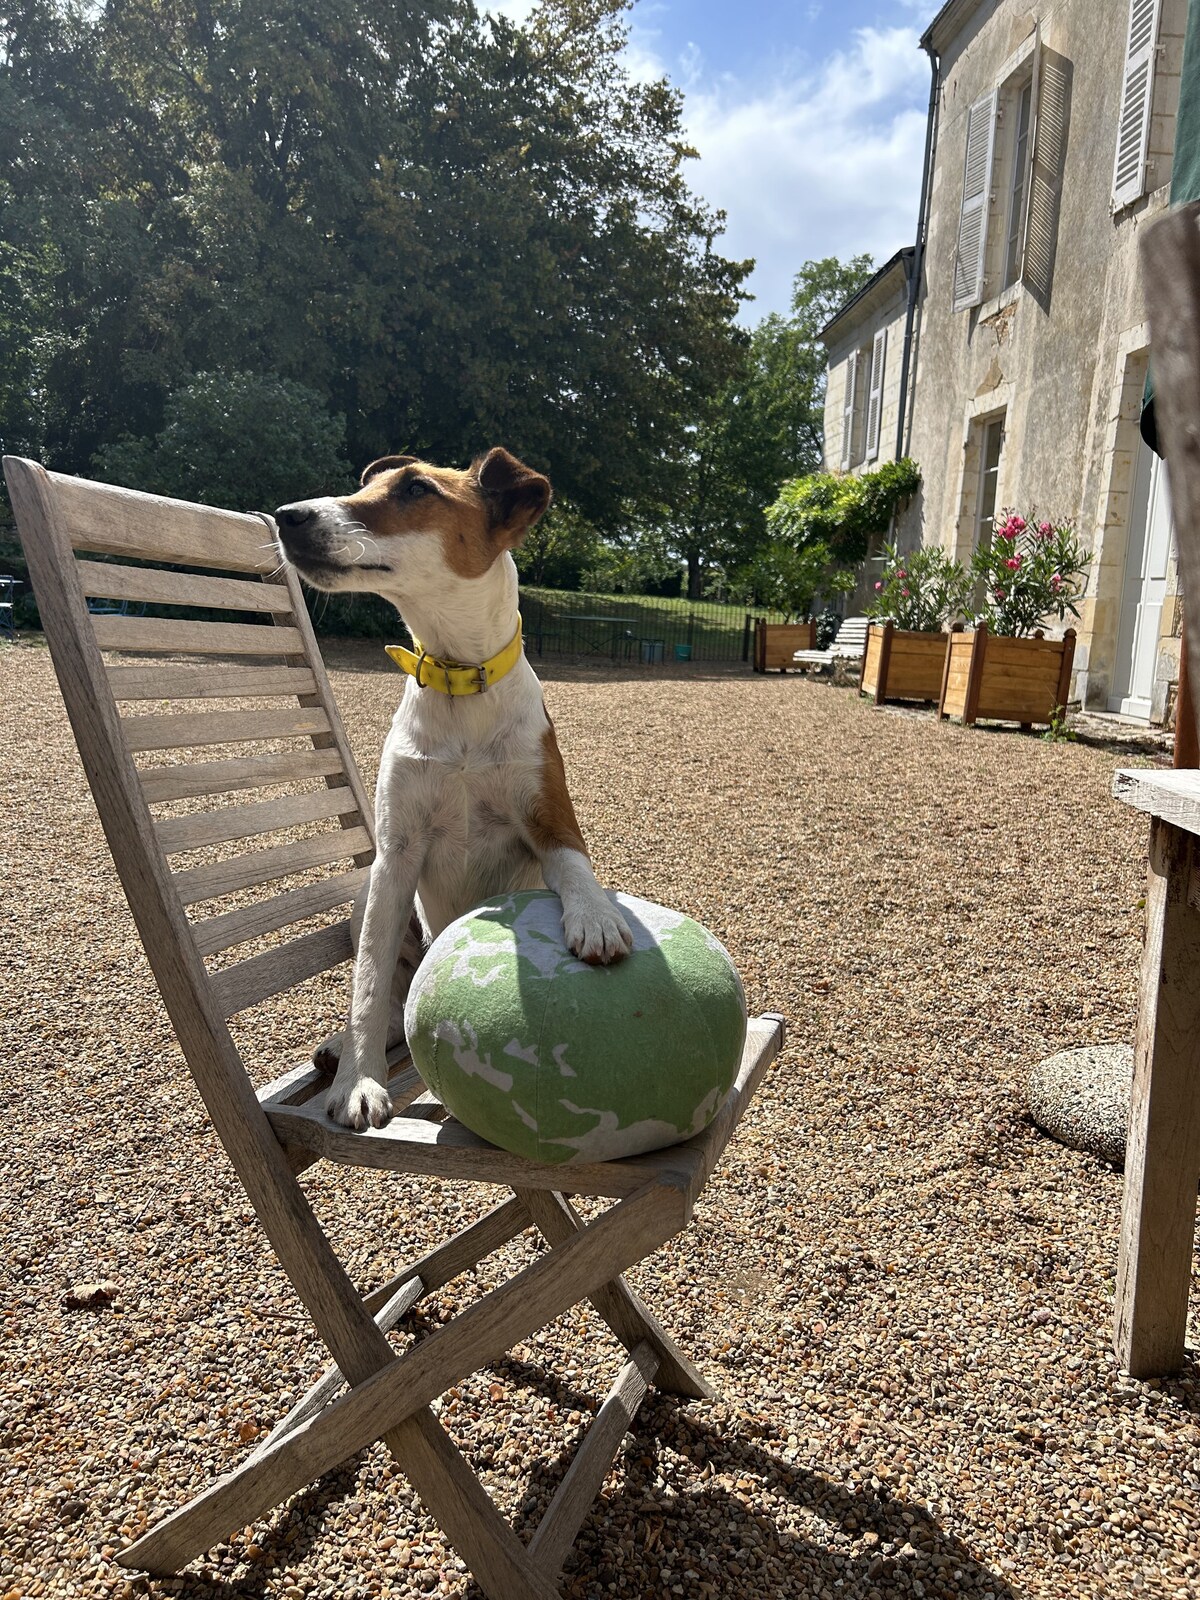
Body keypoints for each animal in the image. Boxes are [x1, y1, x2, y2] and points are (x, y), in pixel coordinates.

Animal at [273, 447, 633, 1130]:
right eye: (371, 485)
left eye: (416, 489)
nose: (286, 515)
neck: (459, 682)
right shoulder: (395, 859)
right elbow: (366, 985)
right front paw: (359, 1082)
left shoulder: (551, 820)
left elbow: (577, 868)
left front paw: (596, 917)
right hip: (366, 899)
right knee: (390, 993)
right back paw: (342, 1051)